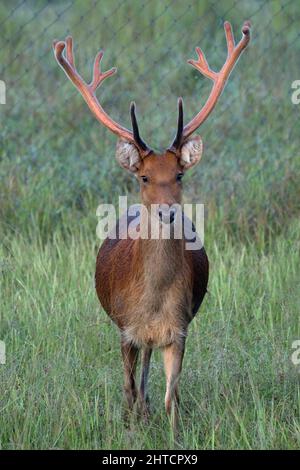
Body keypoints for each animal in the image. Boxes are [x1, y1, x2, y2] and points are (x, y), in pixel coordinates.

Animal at [53, 20, 251, 428]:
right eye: (144, 177)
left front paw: (172, 430)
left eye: (179, 174)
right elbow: (127, 390)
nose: (167, 212)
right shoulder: (126, 328)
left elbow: (170, 398)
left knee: (149, 371)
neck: (154, 302)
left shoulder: (179, 329)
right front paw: (129, 428)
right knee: (135, 379)